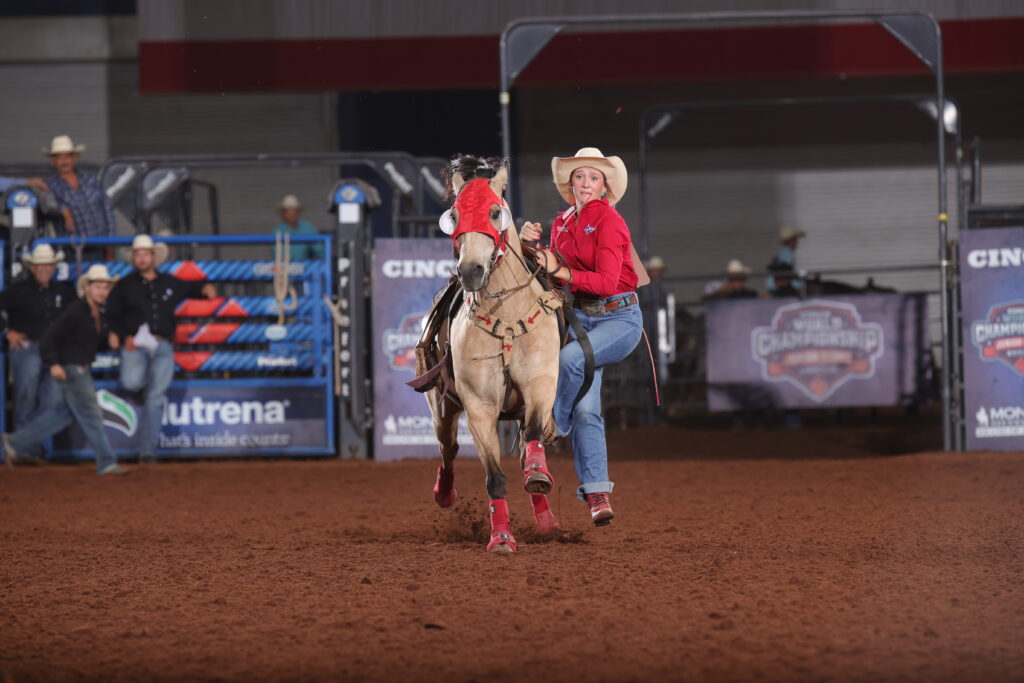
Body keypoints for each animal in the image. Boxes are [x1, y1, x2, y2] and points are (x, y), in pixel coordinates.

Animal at [407, 153, 565, 548]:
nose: (471, 271)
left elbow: (535, 436)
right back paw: (444, 492)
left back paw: (546, 517)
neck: (506, 317)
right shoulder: (479, 408)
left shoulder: (540, 385)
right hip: (442, 407)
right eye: (454, 215)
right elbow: (494, 476)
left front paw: (538, 475)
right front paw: (502, 538)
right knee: (447, 449)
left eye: (495, 212)